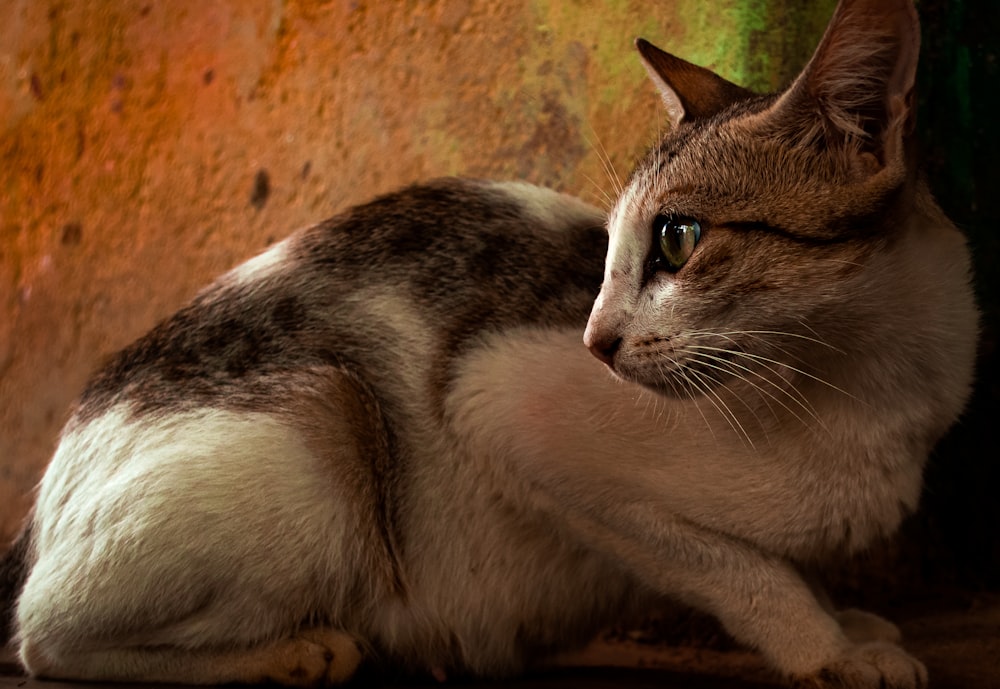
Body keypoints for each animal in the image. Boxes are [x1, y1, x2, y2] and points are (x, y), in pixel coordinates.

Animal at [0, 0, 976, 684]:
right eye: (612, 254)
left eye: (677, 240)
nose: (595, 339)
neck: (877, 384)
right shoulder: (507, 412)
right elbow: (741, 567)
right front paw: (827, 646)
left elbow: (782, 564)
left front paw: (846, 619)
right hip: (322, 423)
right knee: (45, 635)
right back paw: (297, 651)